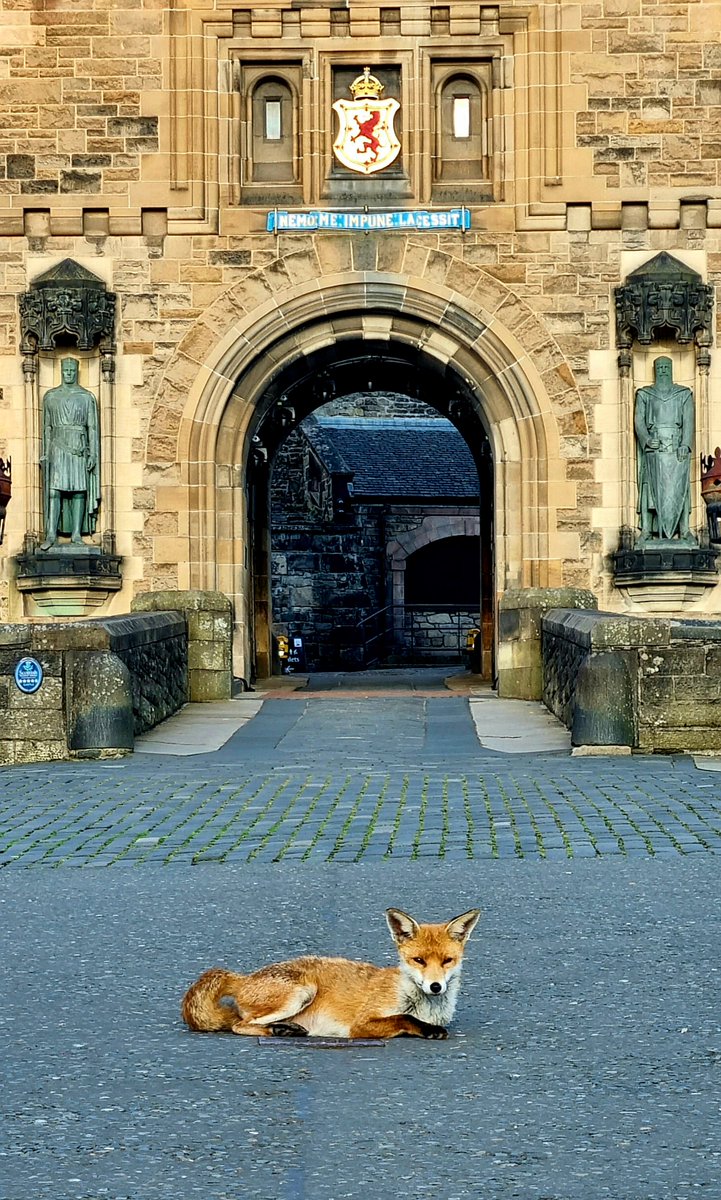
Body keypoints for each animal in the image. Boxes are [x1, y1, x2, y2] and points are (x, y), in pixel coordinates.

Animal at [179, 907, 477, 1041]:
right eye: (419, 960)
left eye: (447, 961)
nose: (436, 986)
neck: (426, 1007)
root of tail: (245, 977)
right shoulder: (361, 1025)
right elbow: (403, 1017)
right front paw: (428, 1030)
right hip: (302, 992)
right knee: (238, 1025)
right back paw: (278, 1030)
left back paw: (284, 1028)